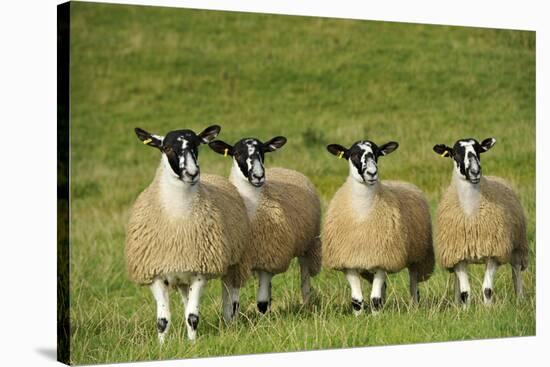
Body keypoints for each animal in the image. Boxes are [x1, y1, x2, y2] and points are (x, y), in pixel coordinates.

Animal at [126, 126, 249, 342]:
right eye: (166, 148)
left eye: (197, 145)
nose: (192, 173)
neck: (178, 224)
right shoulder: (155, 273)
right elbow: (163, 320)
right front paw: (162, 345)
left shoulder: (200, 272)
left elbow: (192, 316)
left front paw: (192, 344)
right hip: (183, 276)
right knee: (187, 300)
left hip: (234, 262)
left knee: (231, 296)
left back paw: (231, 323)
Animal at [210, 137, 324, 314]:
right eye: (237, 153)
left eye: (263, 151)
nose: (258, 176)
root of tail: (285, 169)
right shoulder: (238, 264)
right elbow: (233, 301)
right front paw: (231, 318)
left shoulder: (269, 256)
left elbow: (261, 303)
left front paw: (265, 317)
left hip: (308, 244)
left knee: (305, 276)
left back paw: (306, 304)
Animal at [324, 141, 436, 316]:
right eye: (353, 154)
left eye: (377, 153)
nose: (372, 173)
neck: (363, 215)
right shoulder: (349, 262)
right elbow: (357, 300)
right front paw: (359, 317)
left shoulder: (384, 259)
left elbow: (374, 299)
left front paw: (376, 317)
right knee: (383, 287)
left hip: (416, 256)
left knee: (413, 284)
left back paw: (414, 307)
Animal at [436, 138, 532, 304]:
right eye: (455, 153)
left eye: (479, 150)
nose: (475, 172)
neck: (471, 215)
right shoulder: (458, 256)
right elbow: (465, 292)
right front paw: (465, 308)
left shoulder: (493, 253)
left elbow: (487, 289)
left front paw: (488, 308)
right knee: (456, 281)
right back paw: (456, 303)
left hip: (518, 245)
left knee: (516, 271)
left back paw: (520, 299)